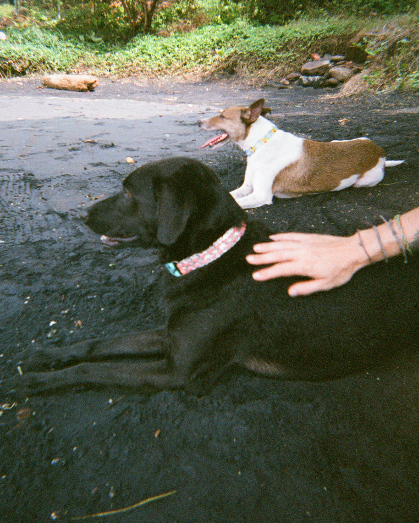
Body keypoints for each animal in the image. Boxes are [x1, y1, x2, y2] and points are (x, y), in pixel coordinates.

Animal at [4, 158, 419, 396]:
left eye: (128, 193)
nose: (82, 215)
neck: (212, 255)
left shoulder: (177, 371)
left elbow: (96, 369)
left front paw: (35, 382)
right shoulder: (172, 334)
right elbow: (101, 345)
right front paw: (47, 355)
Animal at [202, 99, 406, 210]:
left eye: (222, 116)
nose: (198, 122)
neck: (261, 143)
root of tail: (379, 151)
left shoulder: (261, 195)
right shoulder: (247, 187)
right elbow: (231, 195)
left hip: (363, 182)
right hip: (338, 141)